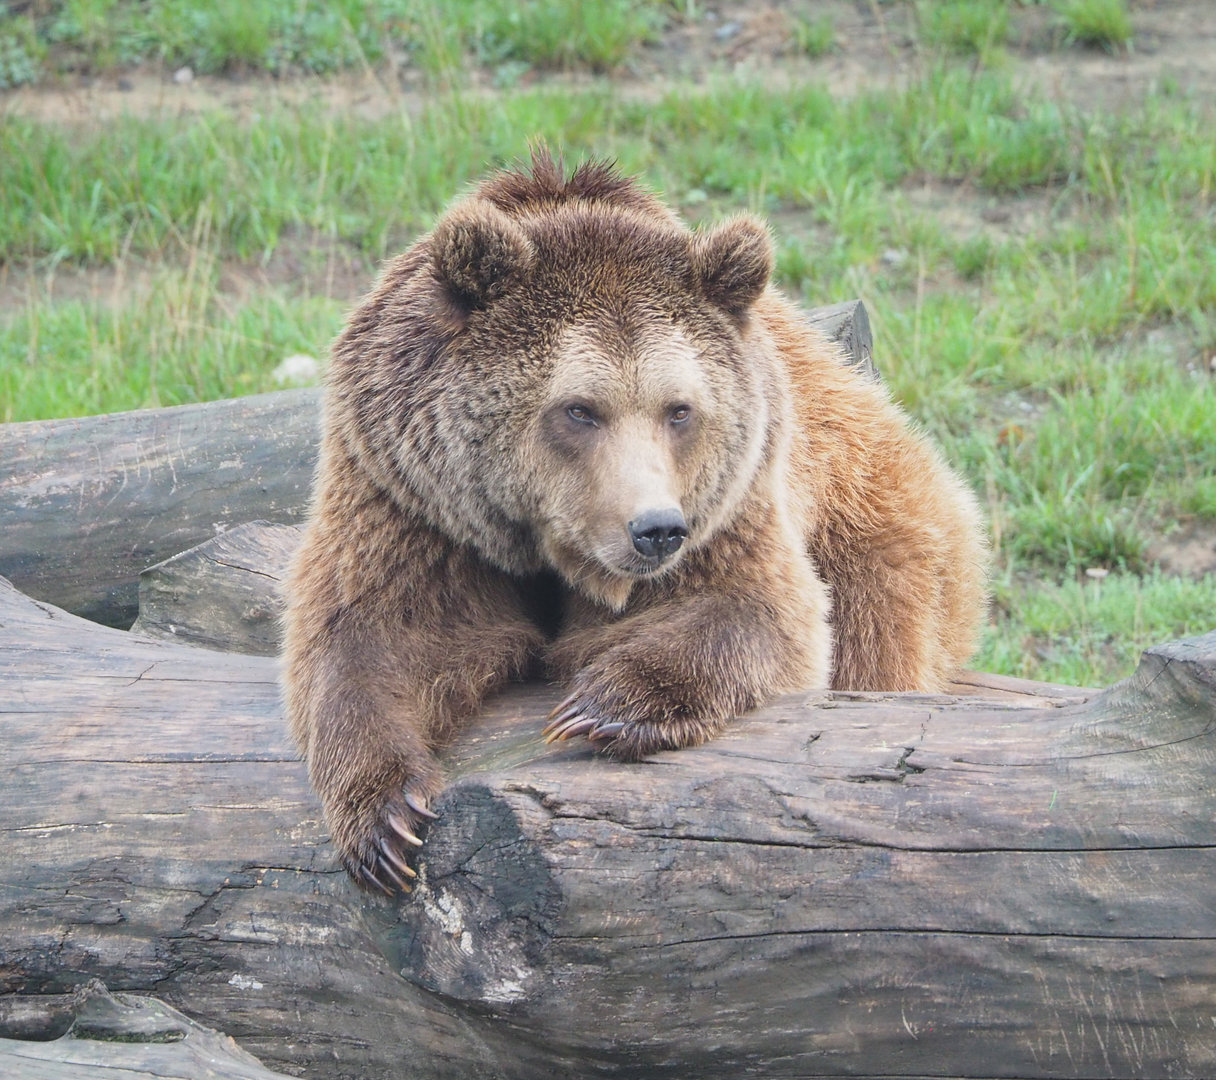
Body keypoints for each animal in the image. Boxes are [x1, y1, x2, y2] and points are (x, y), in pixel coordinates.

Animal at [282, 149, 988, 895]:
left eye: (679, 409)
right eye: (579, 409)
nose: (655, 529)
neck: (545, 548)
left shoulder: (732, 500)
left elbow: (756, 608)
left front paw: (606, 704)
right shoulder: (409, 495)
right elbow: (373, 635)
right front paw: (387, 817)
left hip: (875, 522)